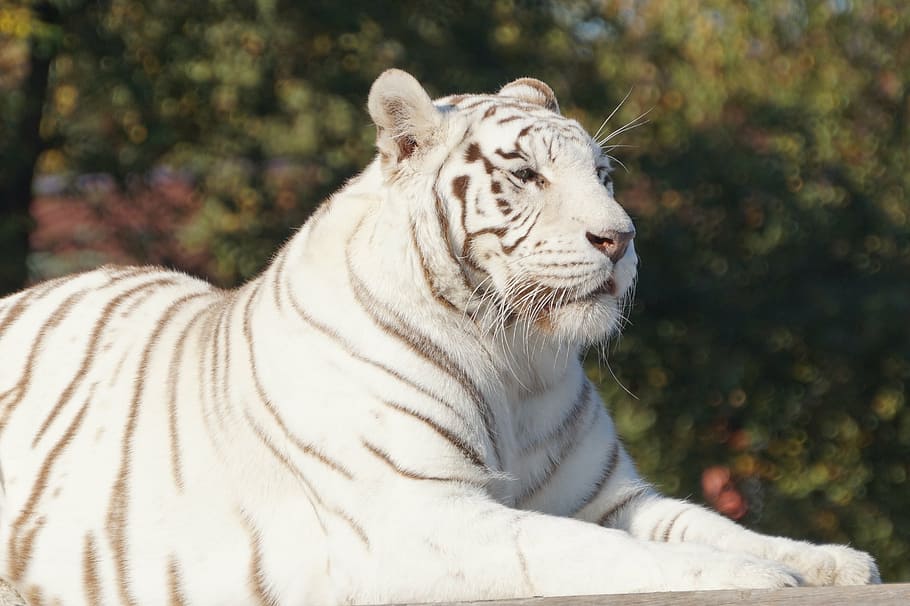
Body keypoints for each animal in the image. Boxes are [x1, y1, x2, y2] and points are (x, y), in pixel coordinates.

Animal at [0, 69, 879, 605]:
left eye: (604, 176)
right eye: (526, 176)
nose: (620, 239)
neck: (516, 360)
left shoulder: (607, 498)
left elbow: (709, 522)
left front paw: (829, 559)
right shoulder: (428, 516)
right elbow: (613, 555)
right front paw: (758, 575)